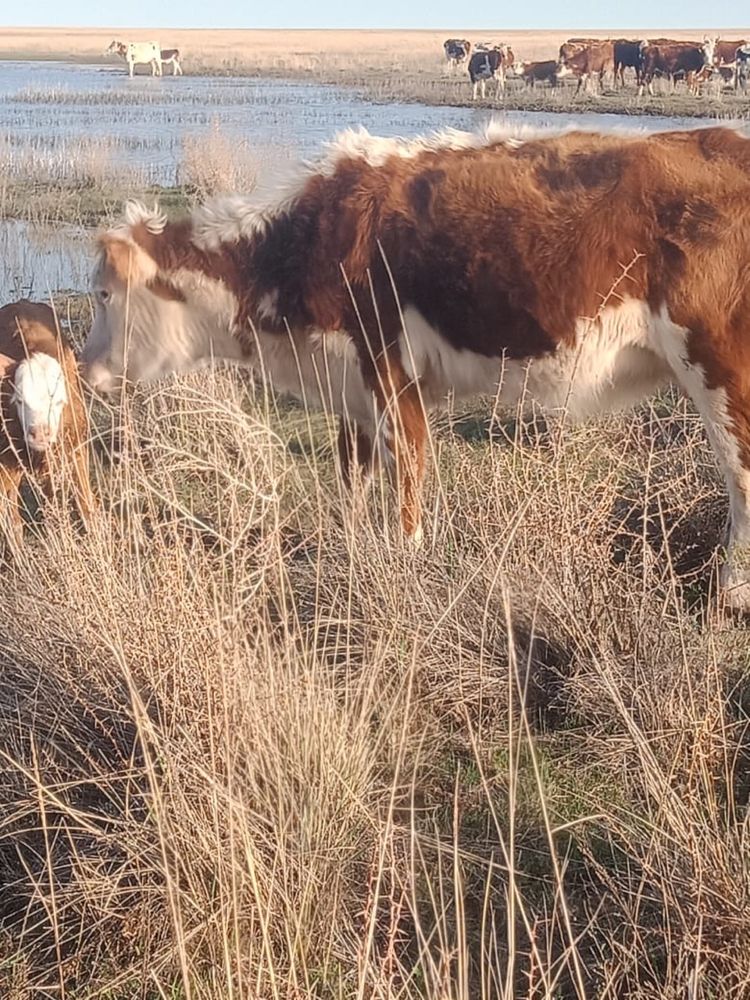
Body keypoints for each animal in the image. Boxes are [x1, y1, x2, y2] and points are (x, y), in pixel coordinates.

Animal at [0, 298, 96, 548]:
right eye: (19, 400)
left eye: (58, 400)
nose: (40, 433)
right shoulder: (5, 462)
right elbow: (11, 520)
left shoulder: (76, 447)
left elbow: (85, 504)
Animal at [81, 124, 750, 608]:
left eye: (104, 294)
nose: (85, 371)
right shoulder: (350, 387)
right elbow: (352, 480)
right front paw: (351, 554)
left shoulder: (389, 372)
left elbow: (406, 479)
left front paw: (404, 566)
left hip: (718, 367)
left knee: (739, 474)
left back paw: (729, 596)